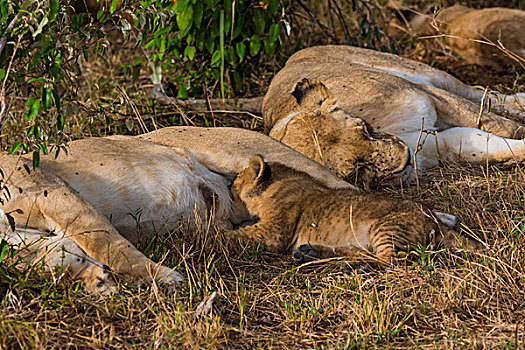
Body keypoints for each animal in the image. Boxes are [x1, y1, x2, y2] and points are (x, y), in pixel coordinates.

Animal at [1, 126, 352, 292]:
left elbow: (106, 242)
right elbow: (55, 256)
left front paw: (164, 277)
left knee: (348, 192)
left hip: (248, 150)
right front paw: (96, 281)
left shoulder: (52, 189)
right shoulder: (24, 240)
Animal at [227, 154, 472, 264]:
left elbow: (235, 236)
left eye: (235, 183)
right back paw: (312, 252)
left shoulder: (273, 232)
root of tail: (435, 220)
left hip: (386, 228)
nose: (228, 187)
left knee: (388, 259)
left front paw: (218, 234)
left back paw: (349, 265)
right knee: (366, 252)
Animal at [264, 45, 524, 178]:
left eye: (363, 128)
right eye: (356, 168)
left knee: (483, 95)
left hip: (423, 71)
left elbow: (501, 125)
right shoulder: (438, 145)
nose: (406, 158)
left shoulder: (430, 96)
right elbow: (483, 142)